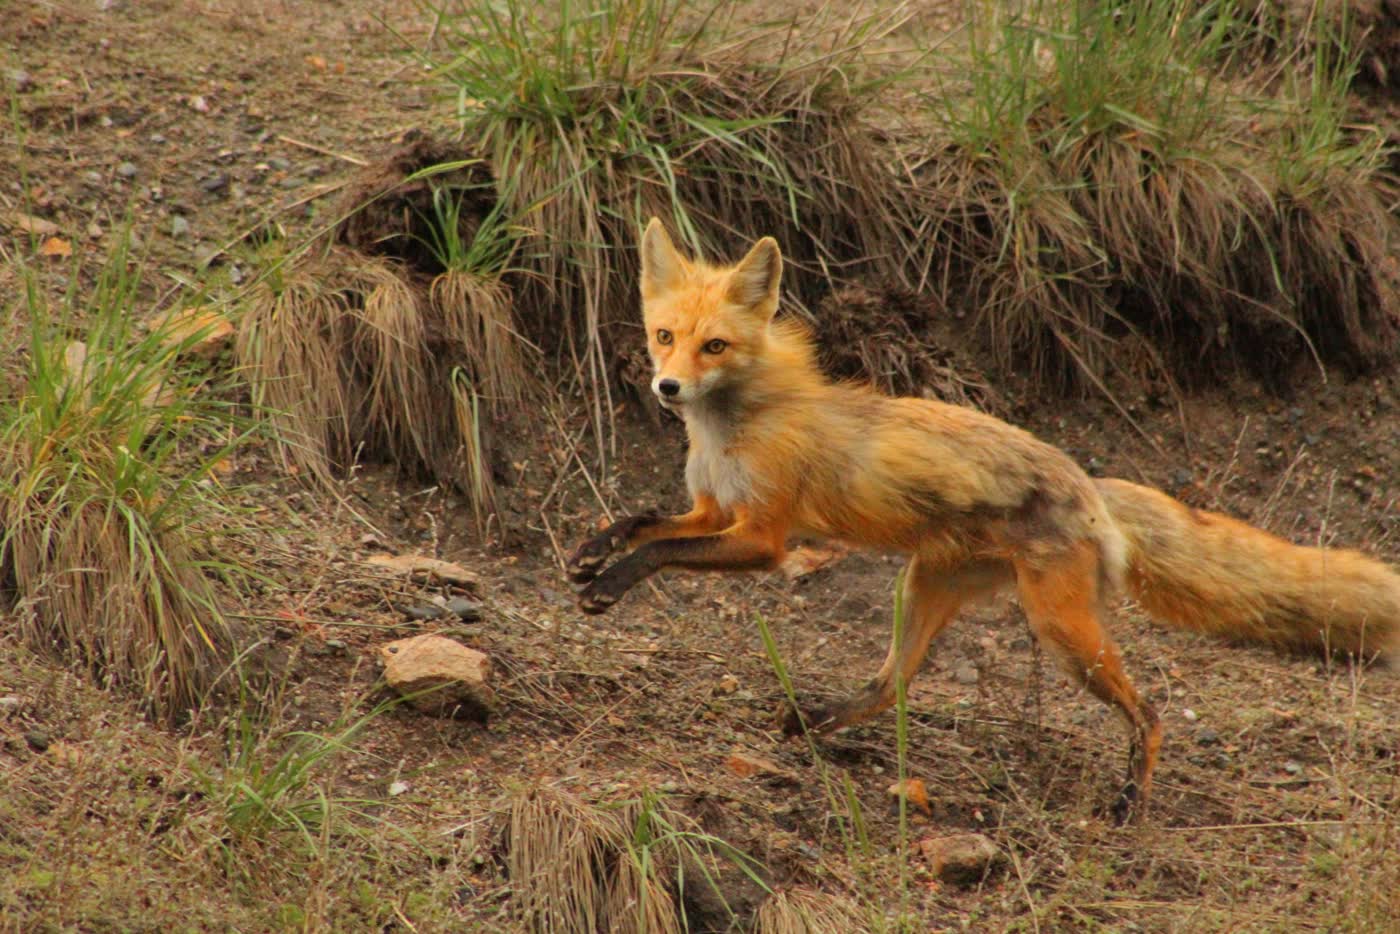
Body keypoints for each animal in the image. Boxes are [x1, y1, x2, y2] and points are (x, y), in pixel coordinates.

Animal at [566, 217, 1400, 821]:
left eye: (715, 345)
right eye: (665, 336)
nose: (667, 388)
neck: (732, 427)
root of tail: (1089, 485)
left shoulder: (763, 536)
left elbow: (661, 553)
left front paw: (611, 582)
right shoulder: (713, 508)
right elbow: (644, 522)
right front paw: (591, 555)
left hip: (1062, 633)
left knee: (1153, 711)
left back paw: (1132, 798)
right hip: (922, 590)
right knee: (891, 685)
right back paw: (813, 723)